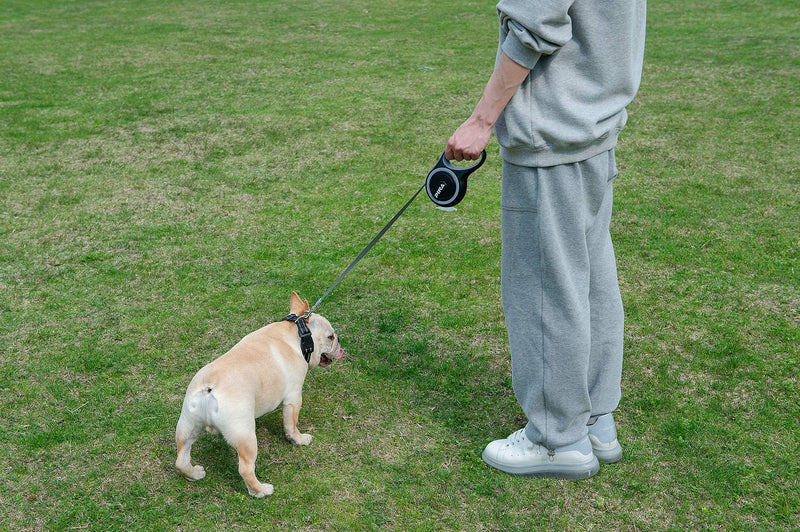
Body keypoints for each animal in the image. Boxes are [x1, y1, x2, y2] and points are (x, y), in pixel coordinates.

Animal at [176, 290, 344, 494]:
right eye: (330, 337)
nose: (339, 341)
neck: (297, 334)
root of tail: (208, 387)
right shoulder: (294, 398)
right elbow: (291, 424)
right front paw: (299, 439)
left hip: (187, 425)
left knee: (181, 458)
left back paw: (194, 474)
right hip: (245, 434)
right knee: (245, 469)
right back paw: (261, 491)